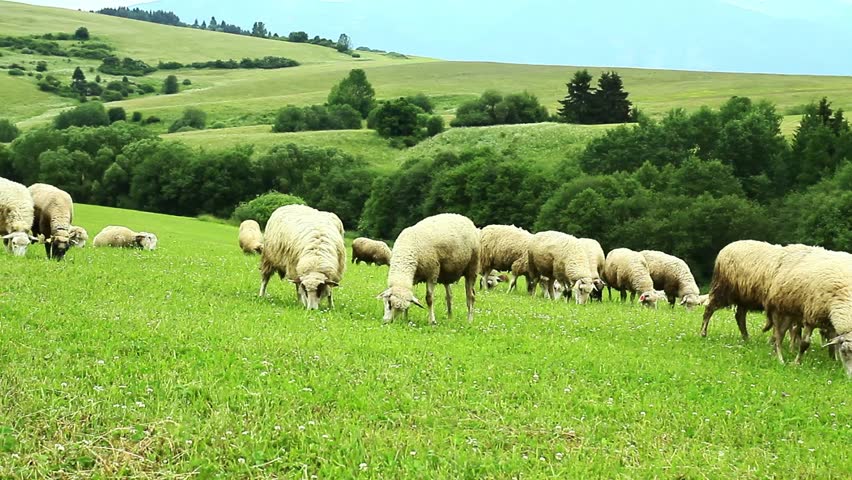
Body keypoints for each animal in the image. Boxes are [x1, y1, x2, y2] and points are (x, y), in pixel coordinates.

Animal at [764, 247, 852, 376]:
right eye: (844, 352)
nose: (850, 376)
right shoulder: (811, 317)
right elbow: (804, 344)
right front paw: (796, 363)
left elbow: (833, 344)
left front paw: (835, 361)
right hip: (779, 310)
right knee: (778, 336)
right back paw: (780, 359)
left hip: (792, 313)